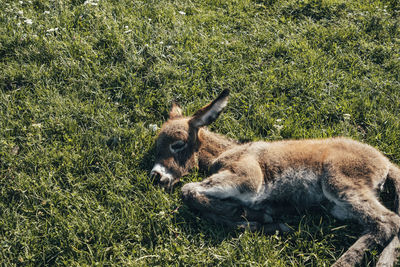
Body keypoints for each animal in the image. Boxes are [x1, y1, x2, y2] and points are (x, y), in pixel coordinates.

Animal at [150, 90, 400, 267]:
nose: (155, 176)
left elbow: (188, 191)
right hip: (338, 207)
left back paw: (354, 263)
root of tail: (385, 161)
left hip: (340, 183)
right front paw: (254, 220)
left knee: (389, 221)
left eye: (177, 144)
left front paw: (254, 217)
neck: (227, 152)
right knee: (381, 224)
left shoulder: (249, 179)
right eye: (156, 147)